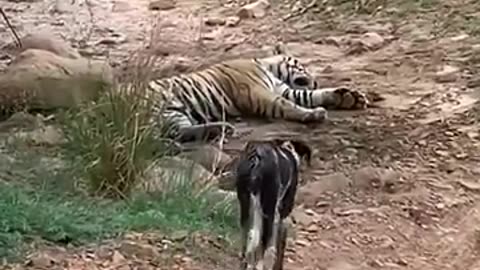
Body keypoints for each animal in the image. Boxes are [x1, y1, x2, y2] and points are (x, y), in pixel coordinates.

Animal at [142, 51, 368, 142]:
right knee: (166, 134)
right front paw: (312, 114)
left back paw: (221, 129)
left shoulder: (283, 89)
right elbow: (286, 105)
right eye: (303, 65)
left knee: (178, 131)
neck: (268, 67)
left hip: (174, 112)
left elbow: (308, 95)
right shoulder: (257, 93)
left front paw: (350, 97)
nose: (316, 81)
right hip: (157, 107)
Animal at [235, 139, 312, 270]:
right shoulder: (282, 217)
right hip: (268, 211)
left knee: (249, 237)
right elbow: (280, 245)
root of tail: (256, 157)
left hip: (247, 207)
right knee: (263, 241)